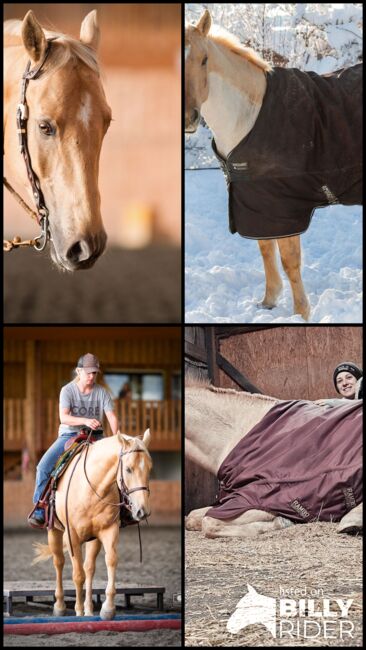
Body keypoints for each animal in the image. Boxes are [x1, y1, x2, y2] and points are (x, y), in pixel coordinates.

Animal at [31, 430, 152, 616]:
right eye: (128, 469)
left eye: (149, 469)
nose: (142, 511)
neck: (92, 487)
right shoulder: (71, 536)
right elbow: (77, 574)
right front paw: (78, 611)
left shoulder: (108, 531)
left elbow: (110, 560)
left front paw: (107, 608)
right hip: (54, 531)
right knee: (59, 562)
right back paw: (60, 606)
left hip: (92, 538)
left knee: (89, 567)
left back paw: (88, 609)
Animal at [186, 11, 364, 320]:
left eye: (204, 59)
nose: (189, 117)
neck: (249, 114)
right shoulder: (258, 201)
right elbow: (265, 249)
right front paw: (268, 302)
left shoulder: (285, 205)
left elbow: (289, 260)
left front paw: (301, 313)